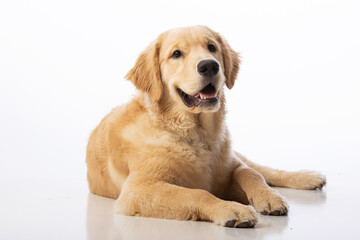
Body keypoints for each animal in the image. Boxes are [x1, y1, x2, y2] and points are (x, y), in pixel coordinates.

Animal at [86, 25, 326, 228]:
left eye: (211, 47)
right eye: (176, 54)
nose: (209, 65)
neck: (195, 132)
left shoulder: (229, 166)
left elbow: (251, 174)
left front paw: (269, 197)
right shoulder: (137, 190)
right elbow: (197, 193)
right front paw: (231, 209)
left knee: (265, 170)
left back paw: (309, 177)